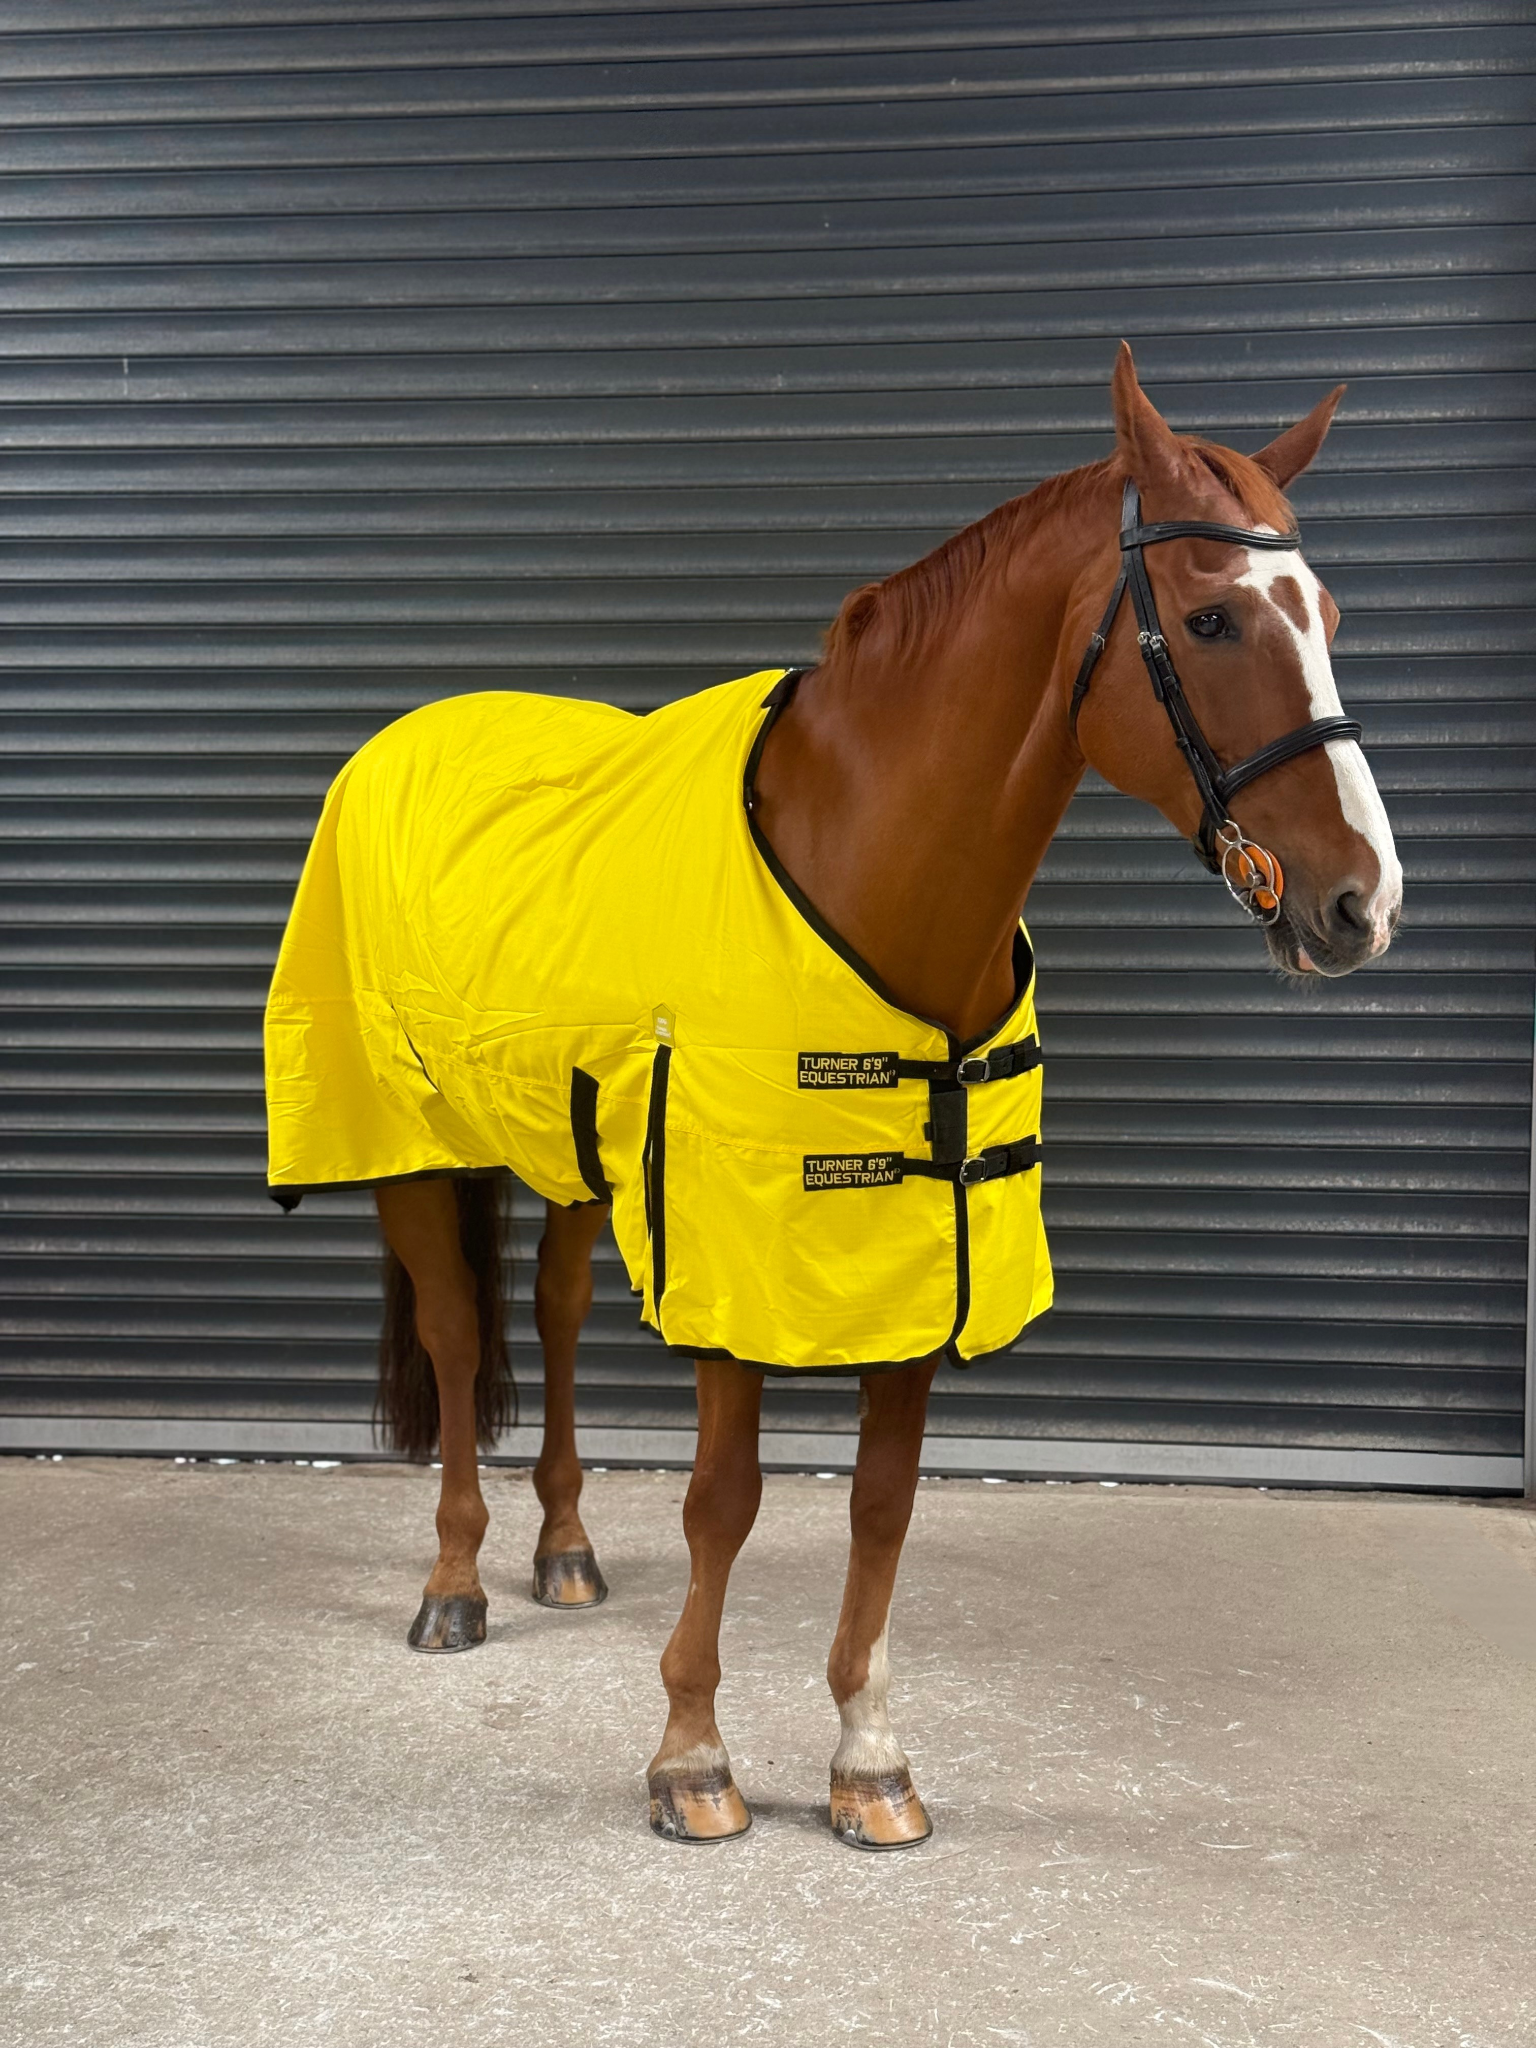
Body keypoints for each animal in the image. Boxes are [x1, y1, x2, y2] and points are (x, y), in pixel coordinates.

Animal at [265, 344, 1401, 1850]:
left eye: (1325, 612)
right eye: (1213, 620)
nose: (1364, 901)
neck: (865, 866)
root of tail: (403, 739)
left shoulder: (920, 1258)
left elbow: (881, 1502)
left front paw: (869, 1754)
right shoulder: (732, 1253)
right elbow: (725, 1499)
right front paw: (692, 1756)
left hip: (578, 1159)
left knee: (553, 1316)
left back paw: (564, 1548)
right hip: (406, 1141)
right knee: (455, 1340)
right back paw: (454, 1583)